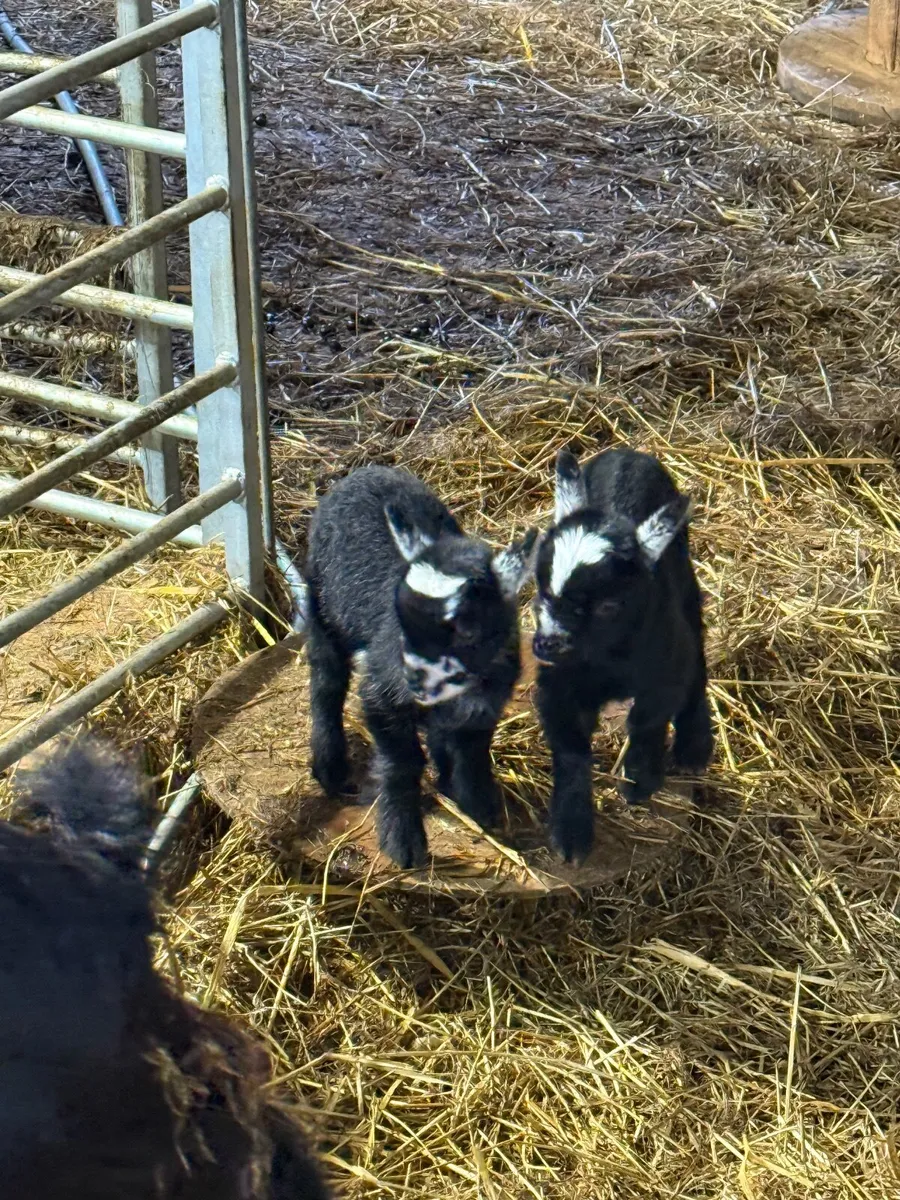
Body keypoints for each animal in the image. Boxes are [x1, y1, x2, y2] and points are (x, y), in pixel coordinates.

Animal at [304, 465, 536, 869]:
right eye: (400, 614)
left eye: (465, 626)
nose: (407, 676)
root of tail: (366, 471)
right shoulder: (381, 697)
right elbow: (402, 762)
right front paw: (402, 841)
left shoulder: (488, 702)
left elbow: (471, 752)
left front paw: (478, 804)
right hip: (321, 603)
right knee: (326, 680)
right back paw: (330, 765)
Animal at [532, 446, 713, 863]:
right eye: (542, 590)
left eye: (608, 606)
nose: (547, 645)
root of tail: (628, 453)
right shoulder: (556, 685)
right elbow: (571, 749)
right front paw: (570, 833)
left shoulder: (664, 665)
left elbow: (647, 720)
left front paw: (640, 780)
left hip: (684, 579)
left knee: (696, 651)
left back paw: (694, 747)